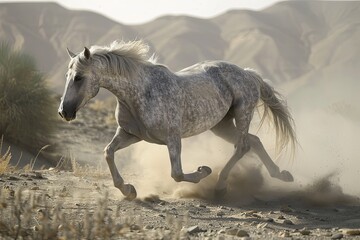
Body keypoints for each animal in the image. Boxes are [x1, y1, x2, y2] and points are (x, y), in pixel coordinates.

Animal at [58, 40, 296, 200]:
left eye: (79, 77)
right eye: (67, 76)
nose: (63, 112)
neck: (140, 93)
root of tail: (248, 73)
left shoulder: (173, 138)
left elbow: (177, 173)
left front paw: (203, 171)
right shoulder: (130, 135)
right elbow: (108, 152)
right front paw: (129, 190)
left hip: (242, 112)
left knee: (243, 146)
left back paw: (220, 186)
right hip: (221, 125)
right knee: (253, 141)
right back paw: (281, 175)